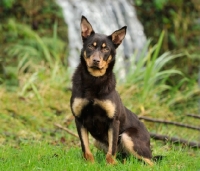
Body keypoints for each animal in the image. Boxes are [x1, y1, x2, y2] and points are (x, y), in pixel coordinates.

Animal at [70, 15, 153, 166]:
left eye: (106, 49)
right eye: (90, 46)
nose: (96, 60)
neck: (94, 80)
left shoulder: (113, 121)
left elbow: (112, 148)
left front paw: (111, 165)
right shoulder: (79, 119)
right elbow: (85, 148)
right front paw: (90, 163)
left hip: (127, 136)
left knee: (151, 161)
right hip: (98, 142)